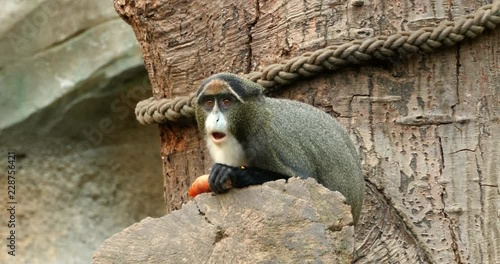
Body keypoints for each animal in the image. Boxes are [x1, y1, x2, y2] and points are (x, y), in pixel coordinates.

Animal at [194, 72, 364, 225]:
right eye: (209, 102)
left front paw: (229, 173)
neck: (253, 121)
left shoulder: (270, 141)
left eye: (226, 101)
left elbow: (305, 180)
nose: (215, 119)